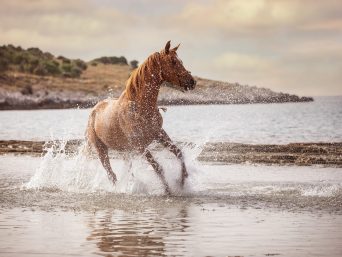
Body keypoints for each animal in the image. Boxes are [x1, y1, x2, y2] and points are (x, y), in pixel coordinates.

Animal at [86, 40, 195, 193]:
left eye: (180, 61)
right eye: (173, 61)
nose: (192, 82)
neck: (140, 107)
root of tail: (94, 111)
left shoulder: (159, 133)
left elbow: (178, 152)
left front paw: (182, 181)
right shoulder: (140, 145)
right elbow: (157, 167)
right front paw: (168, 190)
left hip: (124, 151)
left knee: (127, 172)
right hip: (101, 150)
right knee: (111, 175)